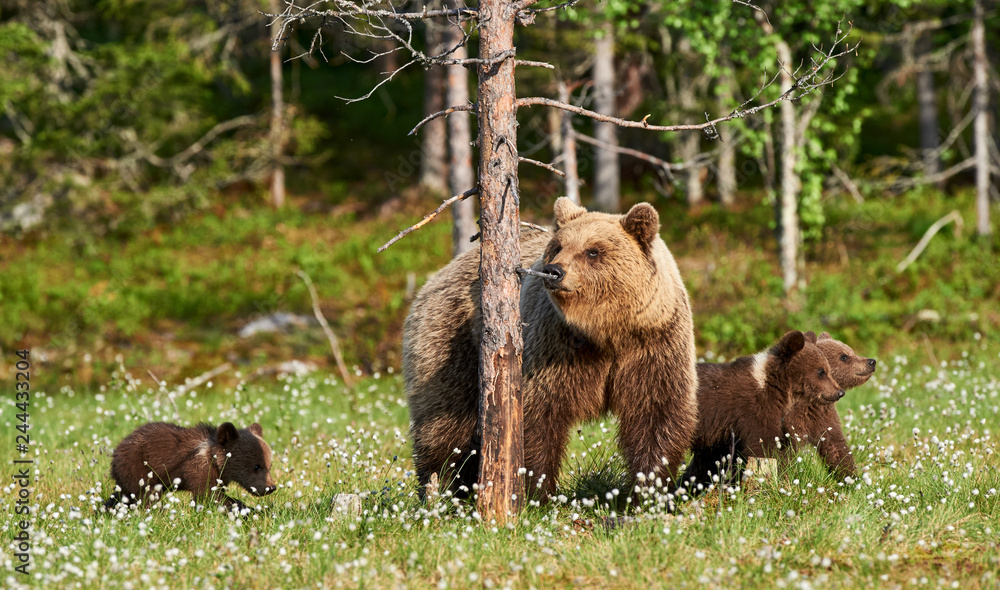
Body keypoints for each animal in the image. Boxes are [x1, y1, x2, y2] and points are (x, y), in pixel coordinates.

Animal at [103, 421, 277, 511]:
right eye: (257, 466)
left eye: (269, 465)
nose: (270, 487)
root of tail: (116, 449)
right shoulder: (198, 469)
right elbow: (208, 495)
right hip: (138, 470)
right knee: (145, 496)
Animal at [404, 197, 698, 500]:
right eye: (558, 246)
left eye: (593, 251)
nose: (554, 271)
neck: (607, 332)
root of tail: (442, 271)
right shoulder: (555, 345)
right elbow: (538, 414)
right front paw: (537, 491)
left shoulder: (653, 345)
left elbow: (656, 412)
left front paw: (649, 489)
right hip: (453, 340)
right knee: (445, 423)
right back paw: (441, 486)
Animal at [678, 330, 844, 492]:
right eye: (821, 371)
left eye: (827, 370)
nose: (839, 392)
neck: (774, 386)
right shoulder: (753, 411)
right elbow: (763, 447)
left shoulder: (723, 434)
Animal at [780, 331, 877, 479]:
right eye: (844, 356)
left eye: (851, 351)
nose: (871, 361)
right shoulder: (791, 418)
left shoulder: (823, 416)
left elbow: (835, 446)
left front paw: (850, 477)